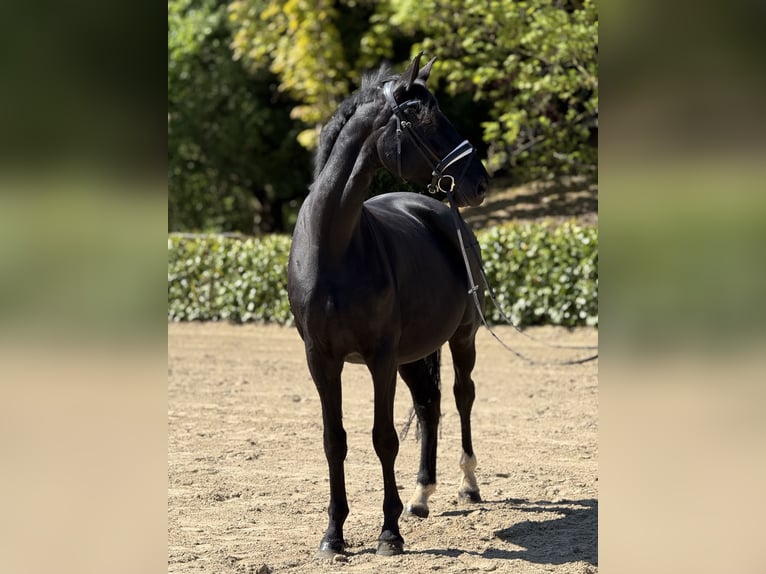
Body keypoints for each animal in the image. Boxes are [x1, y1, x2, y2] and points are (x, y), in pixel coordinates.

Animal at [287, 53, 490, 558]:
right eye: (426, 119)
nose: (480, 182)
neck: (333, 250)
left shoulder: (379, 357)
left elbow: (384, 439)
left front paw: (389, 533)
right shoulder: (321, 360)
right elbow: (334, 441)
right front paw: (333, 535)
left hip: (462, 338)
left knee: (461, 395)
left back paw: (468, 485)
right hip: (413, 354)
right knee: (430, 404)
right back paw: (421, 494)